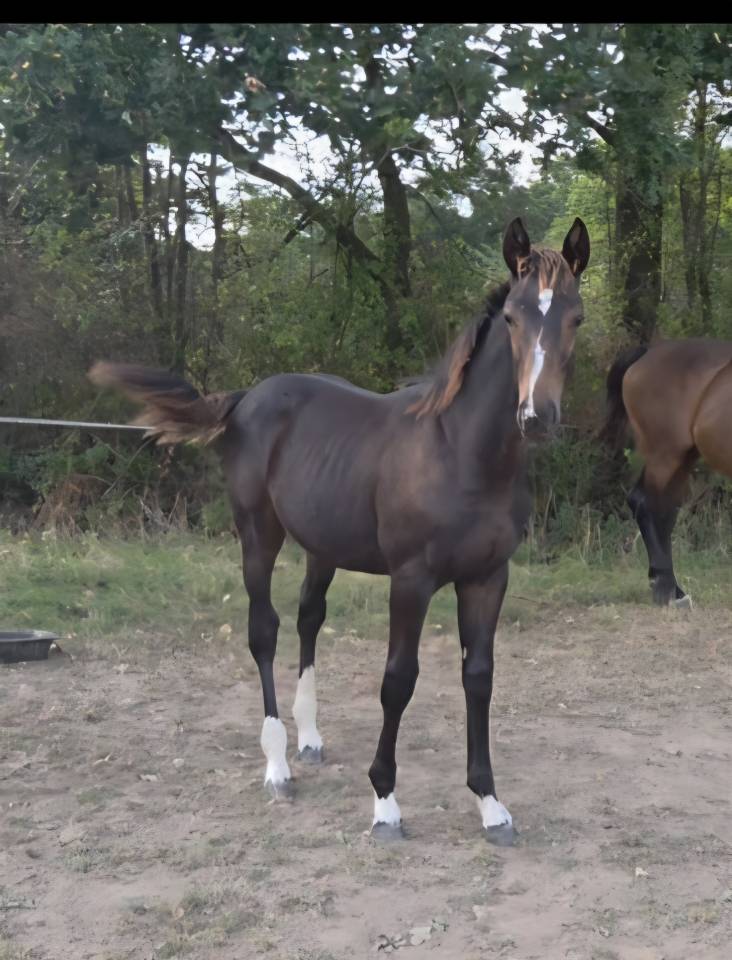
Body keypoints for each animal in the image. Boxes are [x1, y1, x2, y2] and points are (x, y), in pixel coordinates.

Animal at [90, 216, 590, 845]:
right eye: (512, 318)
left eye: (576, 317)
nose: (536, 418)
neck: (461, 451)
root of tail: (246, 397)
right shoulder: (412, 579)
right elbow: (398, 680)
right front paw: (385, 802)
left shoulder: (487, 577)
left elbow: (479, 677)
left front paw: (490, 805)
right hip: (257, 533)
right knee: (265, 631)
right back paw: (277, 765)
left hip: (320, 547)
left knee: (309, 618)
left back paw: (308, 738)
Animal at [603, 339, 732, 607]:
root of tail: (647, 354)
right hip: (665, 455)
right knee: (647, 505)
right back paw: (665, 587)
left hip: (681, 458)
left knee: (664, 511)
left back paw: (673, 589)